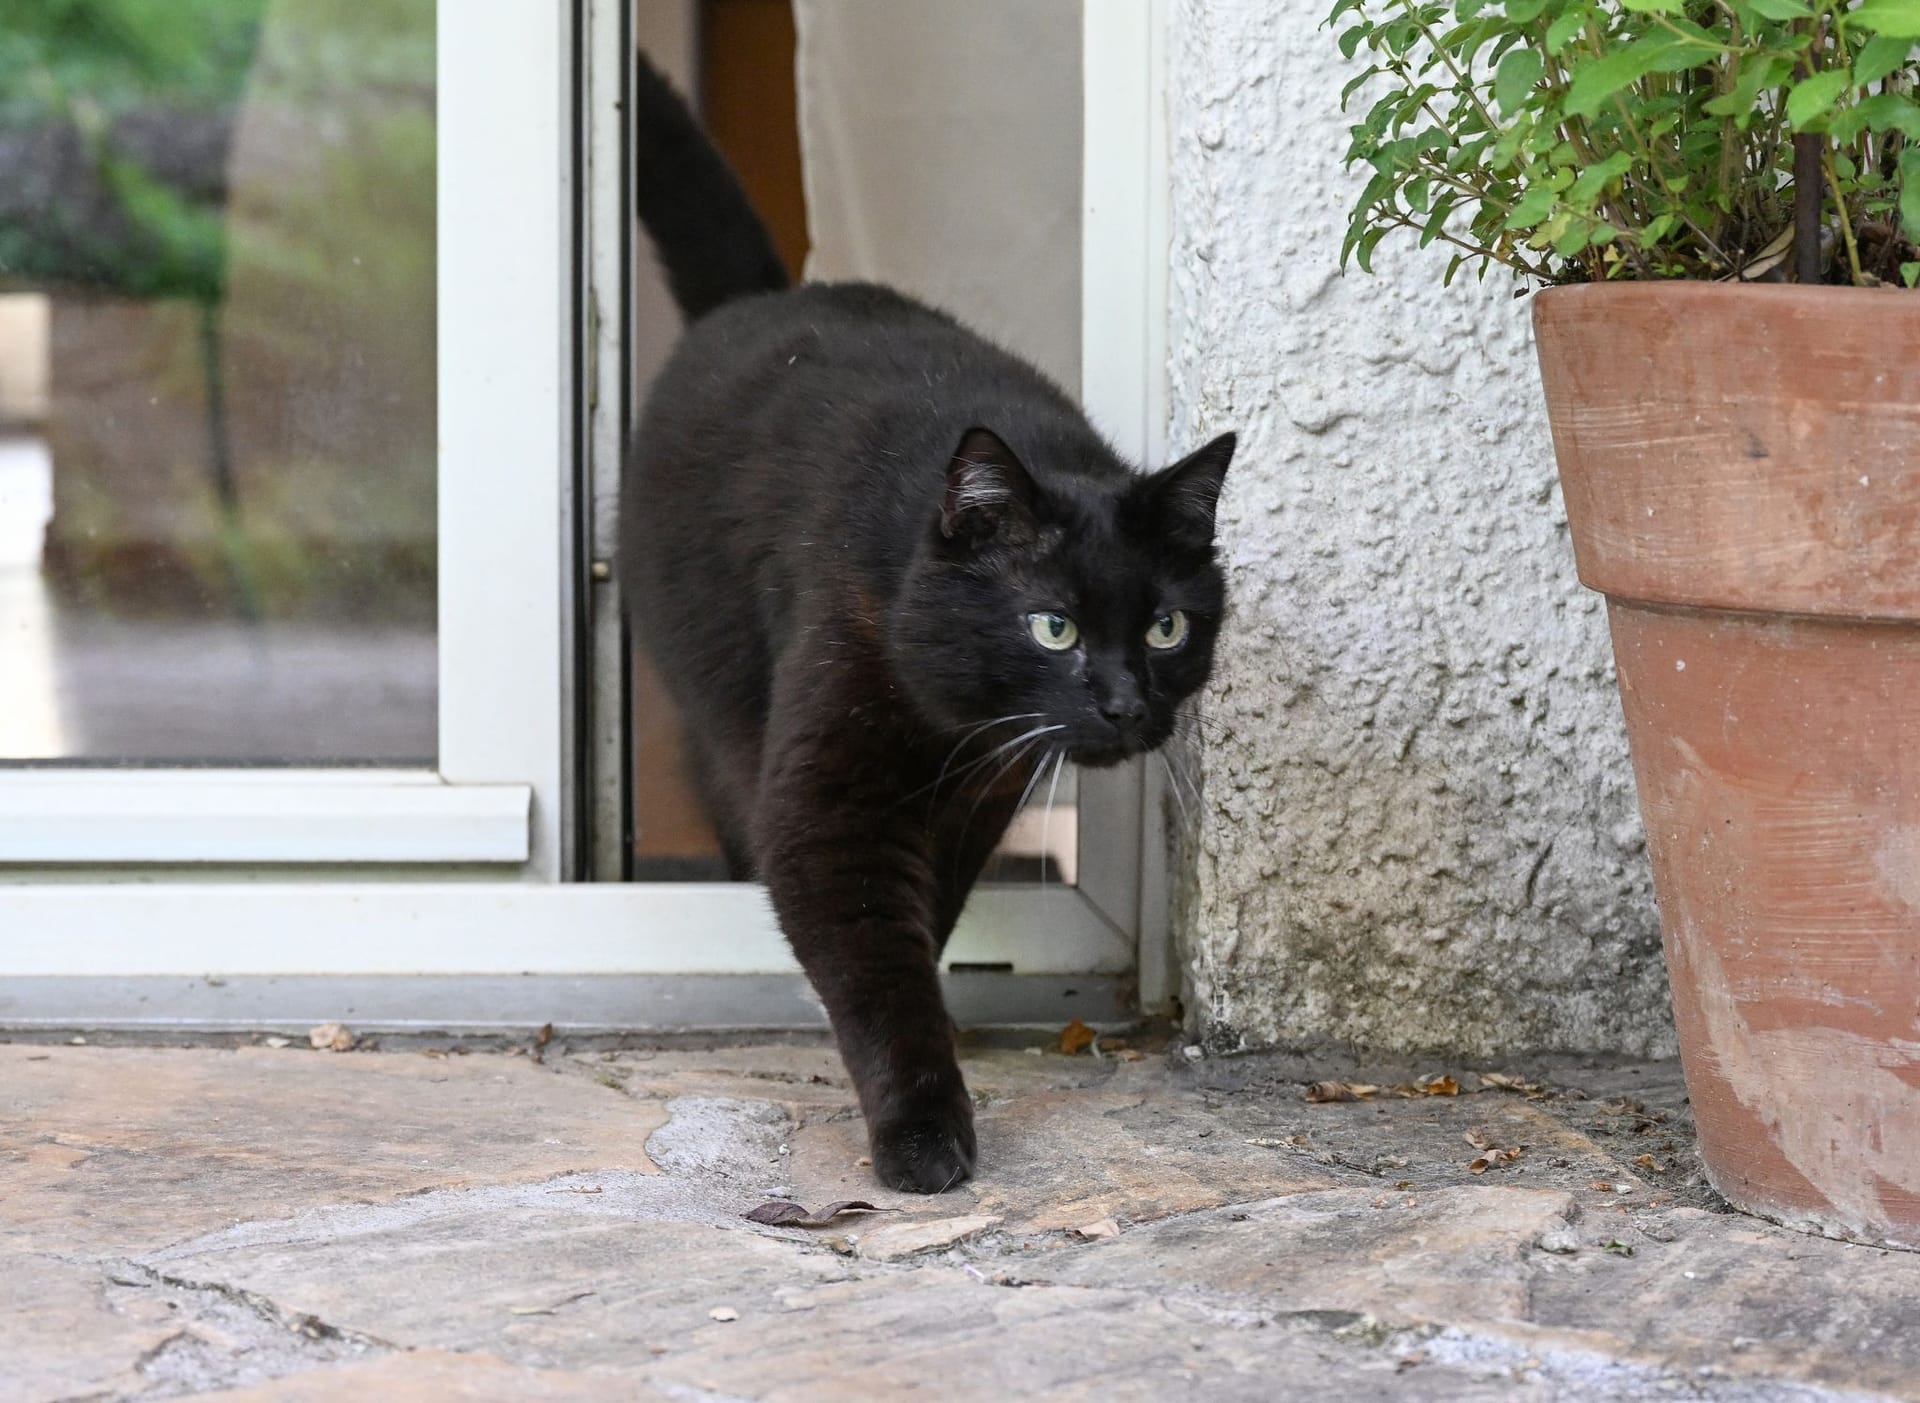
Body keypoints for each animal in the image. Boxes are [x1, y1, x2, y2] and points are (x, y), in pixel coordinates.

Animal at [622, 57, 1236, 1197]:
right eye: (1053, 628)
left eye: (1168, 628)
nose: (1125, 702)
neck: (951, 727)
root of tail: (765, 298)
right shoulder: (833, 801)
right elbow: (878, 962)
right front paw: (921, 1129)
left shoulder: (982, 794)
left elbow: (920, 928)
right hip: (717, 692)